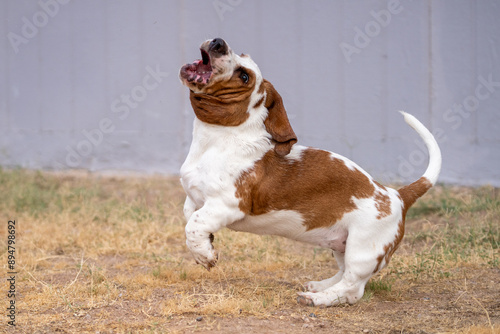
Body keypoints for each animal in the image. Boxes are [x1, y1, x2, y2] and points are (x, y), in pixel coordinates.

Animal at [179, 37, 442, 306]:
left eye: (244, 76)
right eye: (242, 54)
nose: (218, 42)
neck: (217, 139)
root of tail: (397, 196)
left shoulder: (226, 204)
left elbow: (194, 225)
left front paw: (206, 256)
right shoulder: (194, 199)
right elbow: (190, 217)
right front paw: (207, 246)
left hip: (362, 249)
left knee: (352, 288)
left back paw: (316, 298)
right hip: (341, 245)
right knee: (343, 274)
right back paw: (320, 286)